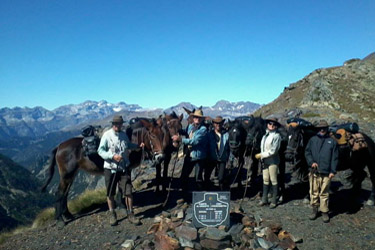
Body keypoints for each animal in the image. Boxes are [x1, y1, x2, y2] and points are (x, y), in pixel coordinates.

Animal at [41, 115, 182, 223]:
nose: (161, 157)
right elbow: (120, 188)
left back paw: (67, 215)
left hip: (72, 175)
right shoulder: (126, 168)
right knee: (59, 193)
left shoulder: (125, 169)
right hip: (67, 175)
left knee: (65, 194)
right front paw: (122, 206)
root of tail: (59, 146)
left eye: (163, 134)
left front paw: (121, 205)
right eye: (152, 136)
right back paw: (60, 219)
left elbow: (121, 187)